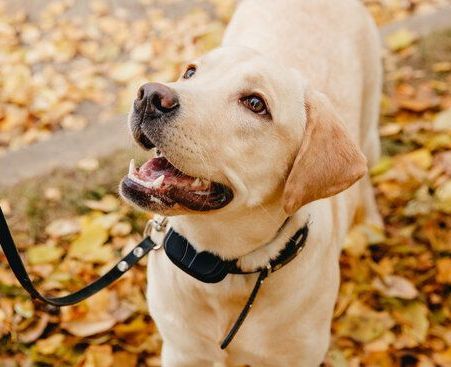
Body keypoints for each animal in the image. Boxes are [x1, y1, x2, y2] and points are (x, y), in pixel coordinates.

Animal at [119, 0, 382, 366]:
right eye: (190, 72)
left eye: (256, 104)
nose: (149, 95)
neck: (221, 267)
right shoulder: (181, 350)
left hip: (369, 128)